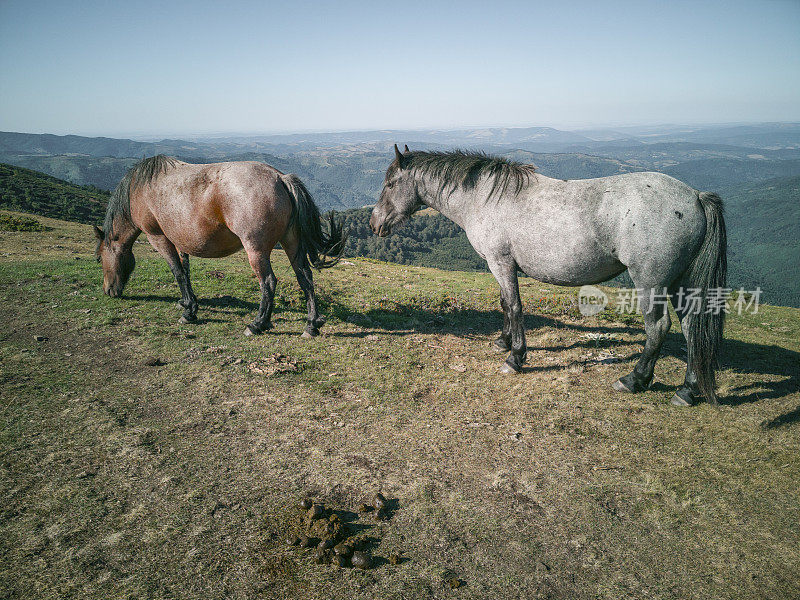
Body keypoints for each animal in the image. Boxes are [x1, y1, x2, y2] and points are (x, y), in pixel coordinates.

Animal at [94, 156, 344, 338]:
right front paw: (188, 305)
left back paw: (257, 324)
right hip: (292, 243)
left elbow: (177, 272)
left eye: (99, 259)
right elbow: (186, 271)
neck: (139, 189)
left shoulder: (158, 237)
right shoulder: (181, 240)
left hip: (256, 249)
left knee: (268, 282)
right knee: (305, 277)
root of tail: (280, 178)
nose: (108, 290)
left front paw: (188, 312)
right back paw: (311, 325)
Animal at [370, 146, 724, 408]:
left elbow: (514, 306)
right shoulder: (501, 266)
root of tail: (695, 196)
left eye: (390, 184)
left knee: (658, 327)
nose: (375, 223)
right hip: (680, 282)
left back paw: (634, 379)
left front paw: (515, 357)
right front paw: (503, 341)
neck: (484, 197)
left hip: (651, 280)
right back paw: (687, 390)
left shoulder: (501, 263)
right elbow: (504, 303)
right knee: (691, 327)